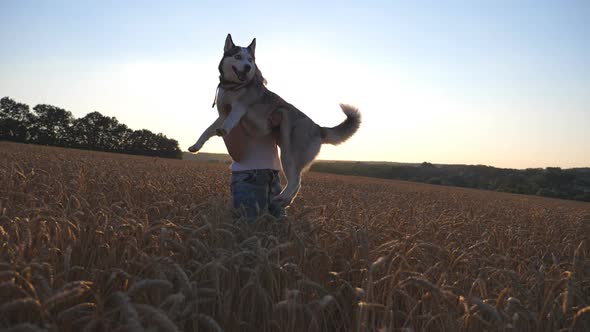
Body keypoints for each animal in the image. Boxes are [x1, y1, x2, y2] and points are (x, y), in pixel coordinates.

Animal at [190, 33, 364, 205]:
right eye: (238, 56)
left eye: (250, 60)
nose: (247, 67)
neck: (232, 87)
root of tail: (318, 127)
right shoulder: (222, 115)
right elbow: (206, 131)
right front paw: (195, 146)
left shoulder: (240, 108)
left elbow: (230, 120)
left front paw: (224, 129)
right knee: (297, 182)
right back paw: (286, 200)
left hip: (289, 153)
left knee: (296, 181)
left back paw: (282, 197)